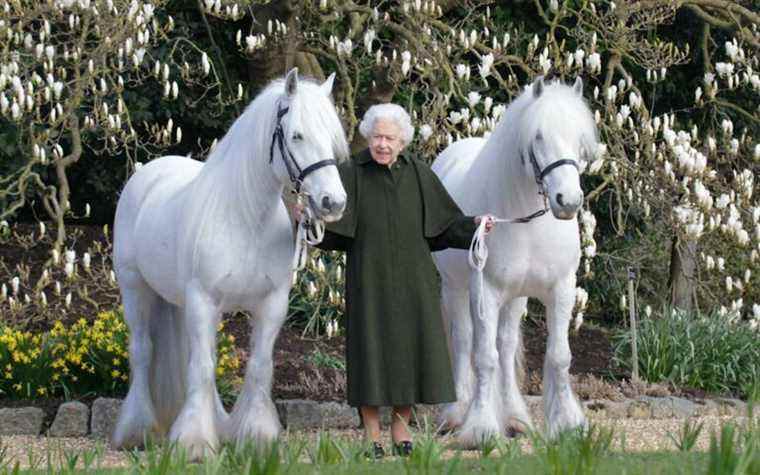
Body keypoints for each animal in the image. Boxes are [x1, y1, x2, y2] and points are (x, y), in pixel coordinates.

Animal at [111, 69, 348, 460]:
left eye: (332, 138)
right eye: (297, 135)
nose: (333, 202)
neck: (245, 218)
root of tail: (150, 172)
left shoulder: (271, 305)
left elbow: (258, 367)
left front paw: (255, 437)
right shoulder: (203, 300)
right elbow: (202, 369)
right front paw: (194, 443)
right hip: (136, 290)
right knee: (143, 352)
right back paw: (137, 431)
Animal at [430, 75, 596, 446]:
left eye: (579, 137)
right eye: (538, 136)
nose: (568, 201)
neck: (527, 221)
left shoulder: (561, 288)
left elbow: (559, 356)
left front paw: (567, 424)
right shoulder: (486, 291)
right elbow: (483, 358)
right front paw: (480, 428)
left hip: (515, 298)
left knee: (505, 347)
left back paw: (516, 418)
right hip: (455, 289)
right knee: (464, 341)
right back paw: (455, 413)